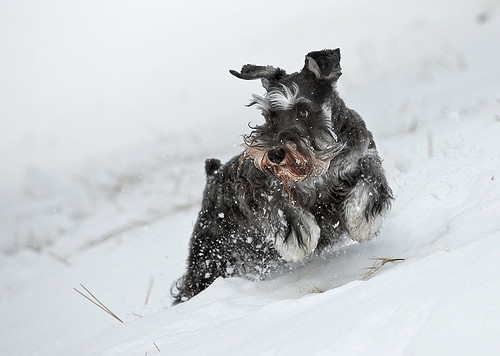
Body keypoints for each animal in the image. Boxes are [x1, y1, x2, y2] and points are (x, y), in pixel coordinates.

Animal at [172, 48, 390, 304]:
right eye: (270, 115)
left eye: (303, 110)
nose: (275, 153)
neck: (321, 164)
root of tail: (212, 176)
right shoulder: (264, 191)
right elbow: (286, 212)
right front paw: (299, 242)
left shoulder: (366, 160)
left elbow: (368, 190)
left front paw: (362, 225)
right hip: (210, 256)